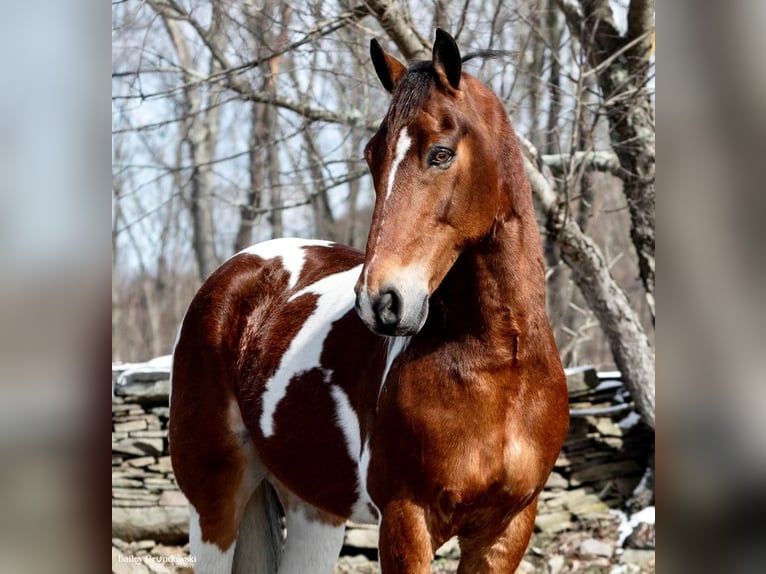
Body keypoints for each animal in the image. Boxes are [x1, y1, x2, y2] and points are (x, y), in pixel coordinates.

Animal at [172, 28, 568, 574]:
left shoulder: (506, 530)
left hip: (314, 512)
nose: (381, 301)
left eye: (441, 153)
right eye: (371, 156)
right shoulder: (405, 522)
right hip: (213, 501)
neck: (497, 368)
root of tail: (236, 273)